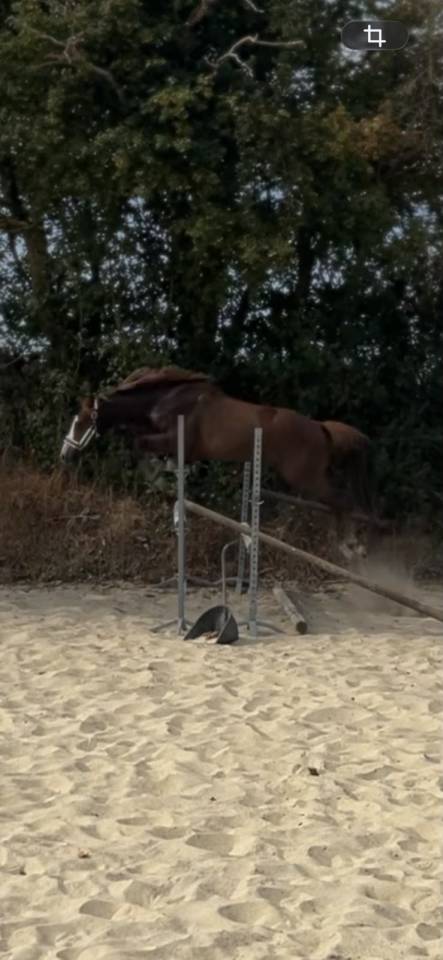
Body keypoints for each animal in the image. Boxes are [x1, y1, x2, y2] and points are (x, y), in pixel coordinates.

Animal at [60, 365, 375, 551]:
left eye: (80, 421)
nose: (65, 454)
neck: (163, 401)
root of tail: (321, 428)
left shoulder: (172, 438)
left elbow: (141, 445)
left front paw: (161, 478)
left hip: (304, 477)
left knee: (342, 501)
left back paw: (350, 545)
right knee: (337, 502)